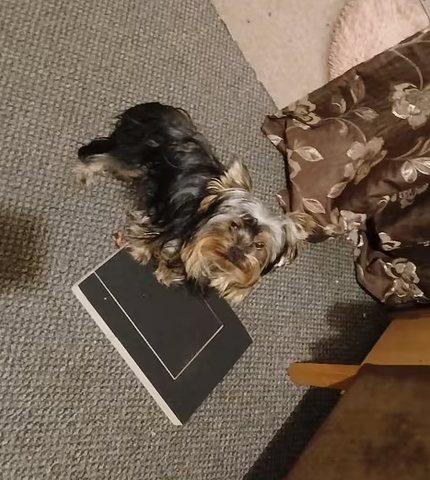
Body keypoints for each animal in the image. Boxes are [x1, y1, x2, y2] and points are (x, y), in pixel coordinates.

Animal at [77, 102, 314, 303]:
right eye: (233, 225)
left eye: (259, 245)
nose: (236, 252)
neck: (200, 222)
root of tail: (156, 108)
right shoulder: (169, 223)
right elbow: (149, 236)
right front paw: (140, 252)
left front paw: (166, 273)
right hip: (133, 154)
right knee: (105, 157)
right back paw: (85, 173)